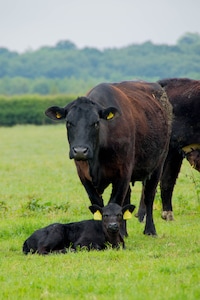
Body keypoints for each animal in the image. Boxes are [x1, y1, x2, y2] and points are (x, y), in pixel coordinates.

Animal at [45, 81, 172, 236]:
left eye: (95, 123)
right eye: (69, 122)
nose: (80, 151)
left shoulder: (123, 173)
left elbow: (115, 202)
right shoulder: (84, 176)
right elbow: (98, 205)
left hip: (158, 164)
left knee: (149, 196)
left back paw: (150, 230)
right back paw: (124, 231)